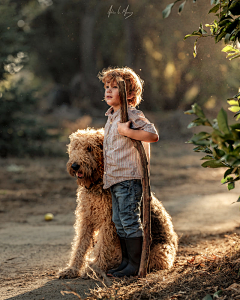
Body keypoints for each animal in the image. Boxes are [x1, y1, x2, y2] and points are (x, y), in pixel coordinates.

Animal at [58, 127, 178, 278]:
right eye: (74, 147)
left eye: (90, 148)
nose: (74, 166)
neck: (98, 183)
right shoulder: (86, 219)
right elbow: (80, 245)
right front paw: (72, 269)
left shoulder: (108, 221)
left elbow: (103, 246)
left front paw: (95, 269)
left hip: (160, 250)